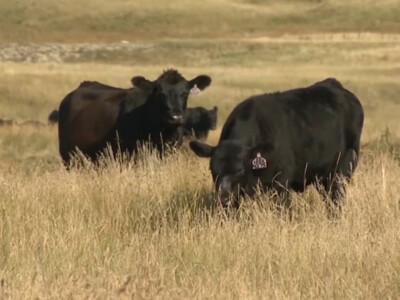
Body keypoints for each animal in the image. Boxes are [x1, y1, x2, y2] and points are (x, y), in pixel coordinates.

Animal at [189, 78, 364, 213]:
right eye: (213, 170)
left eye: (239, 170)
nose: (223, 196)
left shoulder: (281, 183)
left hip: (342, 169)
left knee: (336, 201)